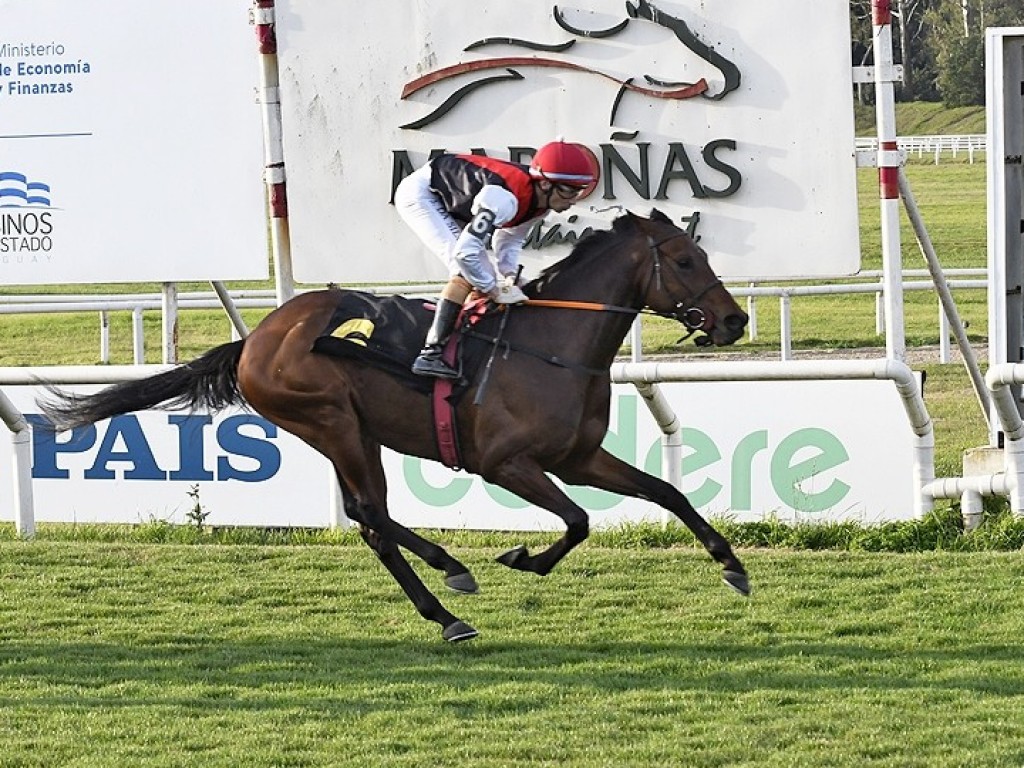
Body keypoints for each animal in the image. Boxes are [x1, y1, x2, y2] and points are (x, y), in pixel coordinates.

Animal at [37, 208, 753, 643]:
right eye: (685, 261)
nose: (735, 320)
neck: (549, 344)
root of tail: (254, 341)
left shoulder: (576, 457)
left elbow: (666, 491)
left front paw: (732, 565)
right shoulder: (505, 463)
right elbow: (577, 522)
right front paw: (521, 557)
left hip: (349, 432)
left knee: (369, 518)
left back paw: (446, 595)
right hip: (333, 422)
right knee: (372, 518)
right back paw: (450, 587)